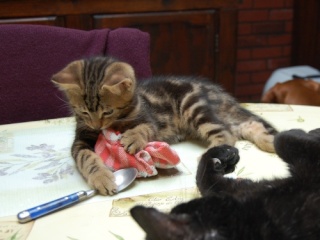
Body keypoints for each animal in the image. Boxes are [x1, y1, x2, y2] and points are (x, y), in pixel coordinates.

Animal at [52, 56, 278, 195]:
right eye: (83, 112)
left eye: (107, 112)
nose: (96, 126)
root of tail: (214, 91)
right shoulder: (81, 140)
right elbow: (86, 157)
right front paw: (102, 178)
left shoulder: (150, 119)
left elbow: (143, 128)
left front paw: (133, 138)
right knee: (243, 126)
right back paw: (270, 141)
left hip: (192, 106)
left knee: (226, 132)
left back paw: (211, 154)